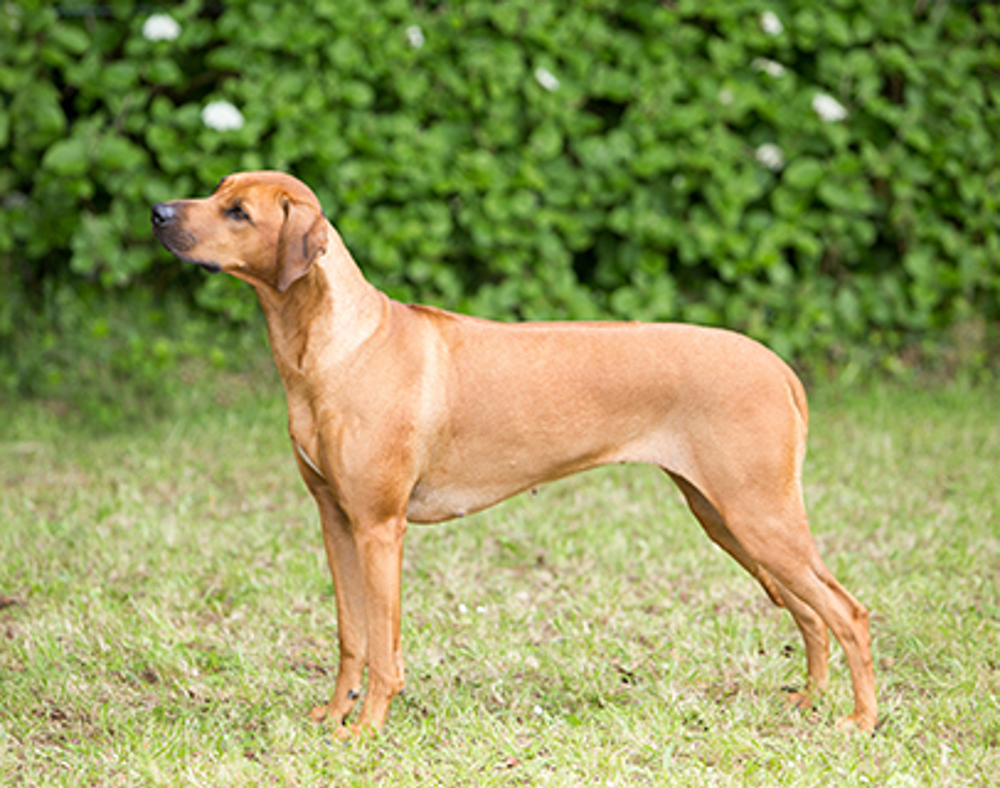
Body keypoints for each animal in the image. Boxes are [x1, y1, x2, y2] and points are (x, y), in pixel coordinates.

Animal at [150, 169, 876, 736]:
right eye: (217, 189)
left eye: (238, 212)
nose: (158, 212)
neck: (334, 345)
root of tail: (778, 367)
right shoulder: (336, 518)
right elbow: (352, 636)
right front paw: (332, 718)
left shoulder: (380, 527)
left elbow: (384, 646)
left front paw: (367, 729)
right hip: (727, 519)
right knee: (812, 614)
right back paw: (809, 702)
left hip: (758, 514)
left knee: (848, 612)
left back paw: (861, 719)